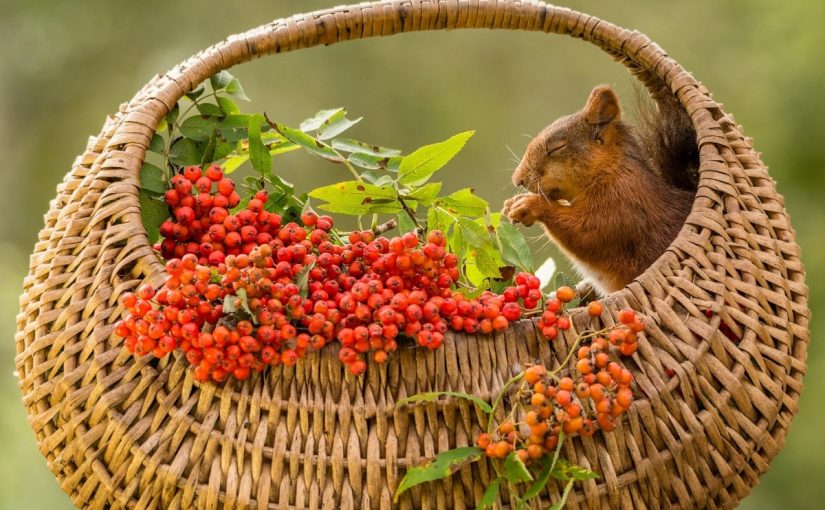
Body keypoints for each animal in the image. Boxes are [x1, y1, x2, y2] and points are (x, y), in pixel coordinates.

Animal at [498, 85, 700, 296]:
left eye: (557, 147)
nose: (518, 180)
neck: (609, 171)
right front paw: (511, 204)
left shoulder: (622, 207)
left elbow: (587, 233)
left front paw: (529, 204)